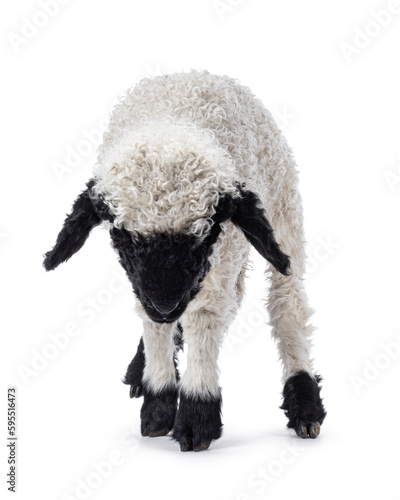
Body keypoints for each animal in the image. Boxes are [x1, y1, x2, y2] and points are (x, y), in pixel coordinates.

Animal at [43, 71, 324, 454]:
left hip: (282, 203)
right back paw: (141, 367)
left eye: (203, 237)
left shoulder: (219, 253)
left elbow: (205, 316)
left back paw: (305, 403)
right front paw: (159, 401)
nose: (165, 303)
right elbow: (155, 322)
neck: (175, 123)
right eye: (124, 238)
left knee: (286, 302)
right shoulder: (146, 281)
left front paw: (196, 415)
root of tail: (191, 75)